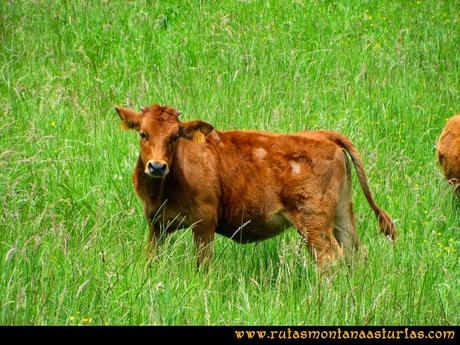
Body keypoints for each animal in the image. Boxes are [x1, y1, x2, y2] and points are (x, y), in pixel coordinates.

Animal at [114, 103, 396, 268]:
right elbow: (152, 260)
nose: (157, 166)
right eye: (143, 133)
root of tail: (324, 135)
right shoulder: (156, 224)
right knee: (355, 254)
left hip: (312, 222)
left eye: (175, 137)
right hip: (341, 215)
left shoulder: (204, 223)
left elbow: (202, 265)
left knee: (329, 259)